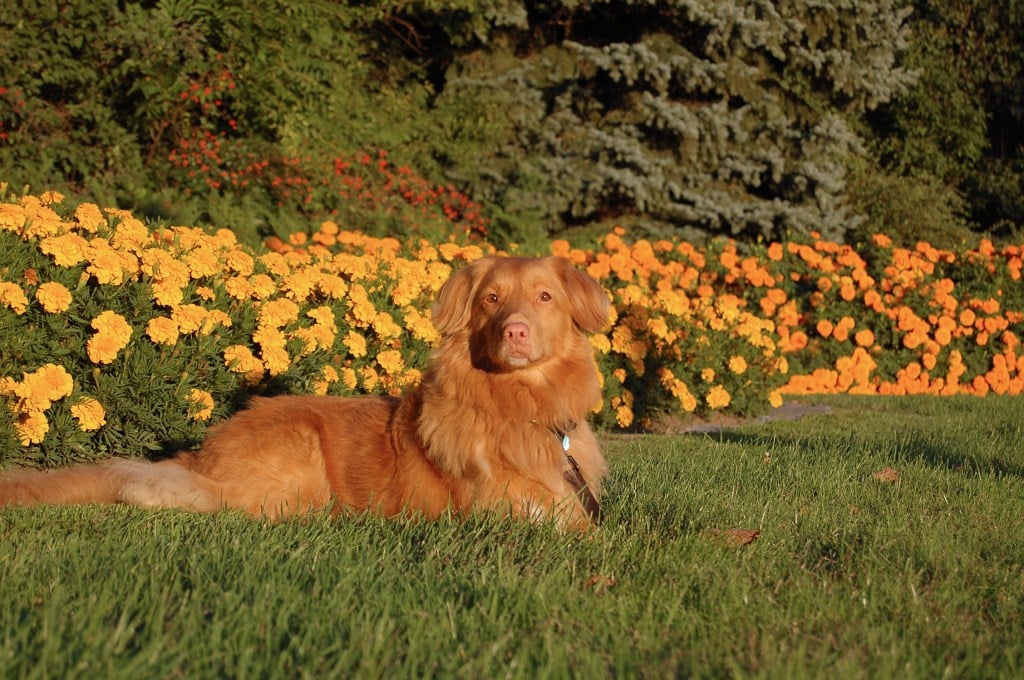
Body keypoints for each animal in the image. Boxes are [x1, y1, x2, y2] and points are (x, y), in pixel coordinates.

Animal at [0, 258, 606, 528]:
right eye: (490, 300)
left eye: (545, 297)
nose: (515, 331)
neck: (519, 409)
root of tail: (206, 451)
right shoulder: (504, 513)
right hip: (298, 461)